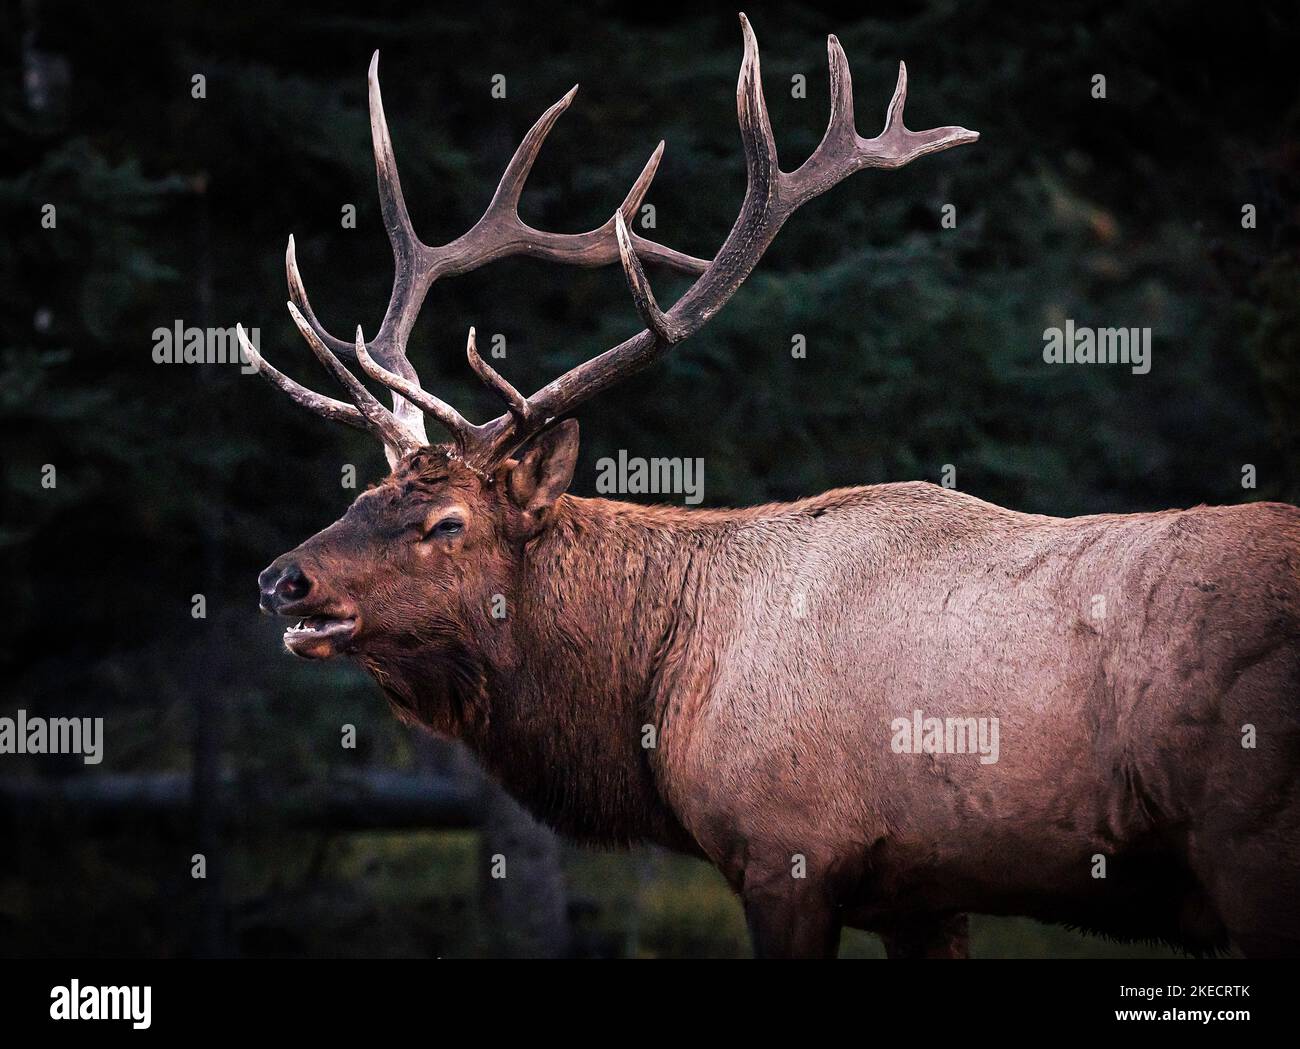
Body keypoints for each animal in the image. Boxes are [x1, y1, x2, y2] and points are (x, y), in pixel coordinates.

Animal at [239, 12, 1300, 961]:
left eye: (448, 521)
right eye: (360, 498)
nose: (280, 579)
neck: (658, 680)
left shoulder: (788, 850)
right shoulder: (925, 894)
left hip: (1250, 842)